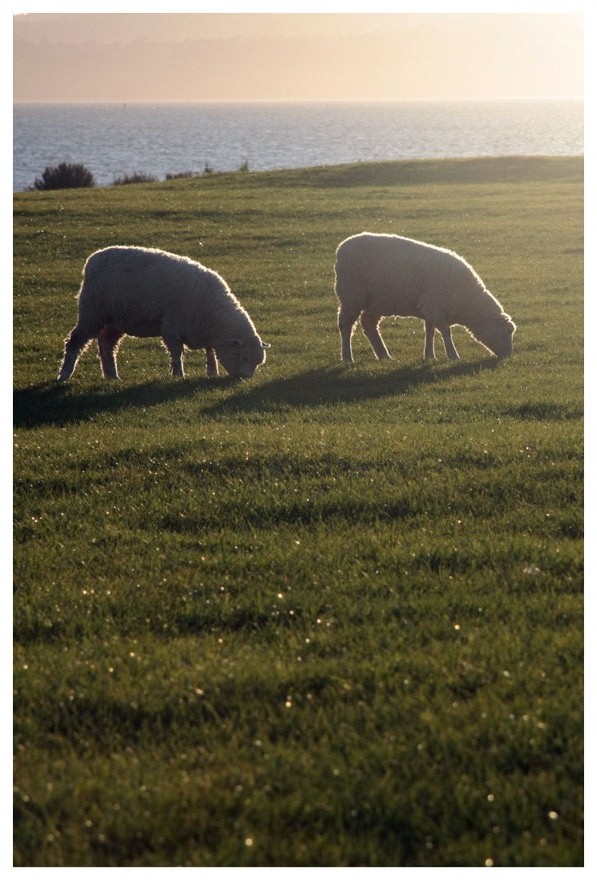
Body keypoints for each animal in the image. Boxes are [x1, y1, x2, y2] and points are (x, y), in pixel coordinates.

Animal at [57, 244, 268, 378]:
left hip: (114, 320)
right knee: (75, 340)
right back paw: (65, 374)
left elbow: (210, 353)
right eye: (244, 357)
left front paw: (212, 373)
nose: (245, 379)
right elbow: (177, 353)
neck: (213, 317)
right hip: (92, 312)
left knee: (106, 345)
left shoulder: (203, 332)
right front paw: (178, 375)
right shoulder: (171, 328)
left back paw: (112, 377)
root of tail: (94, 257)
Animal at [332, 232, 516, 362]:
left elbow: (430, 332)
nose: (508, 356)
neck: (468, 303)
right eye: (507, 332)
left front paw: (429, 356)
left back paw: (384, 355)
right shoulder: (433, 307)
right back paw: (347, 357)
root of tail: (342, 247)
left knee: (369, 325)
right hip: (351, 296)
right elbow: (445, 331)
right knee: (345, 326)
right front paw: (453, 355)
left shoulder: (429, 309)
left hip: (375, 302)